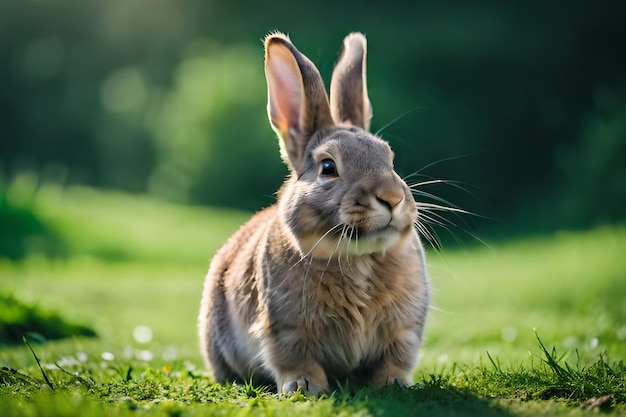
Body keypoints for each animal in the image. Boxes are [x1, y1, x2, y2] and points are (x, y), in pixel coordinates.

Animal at [199, 31, 428, 394]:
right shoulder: (285, 329)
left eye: (390, 159)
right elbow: (294, 359)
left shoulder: (404, 328)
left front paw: (393, 384)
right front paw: (305, 386)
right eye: (328, 167)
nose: (392, 198)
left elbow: (396, 358)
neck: (357, 256)